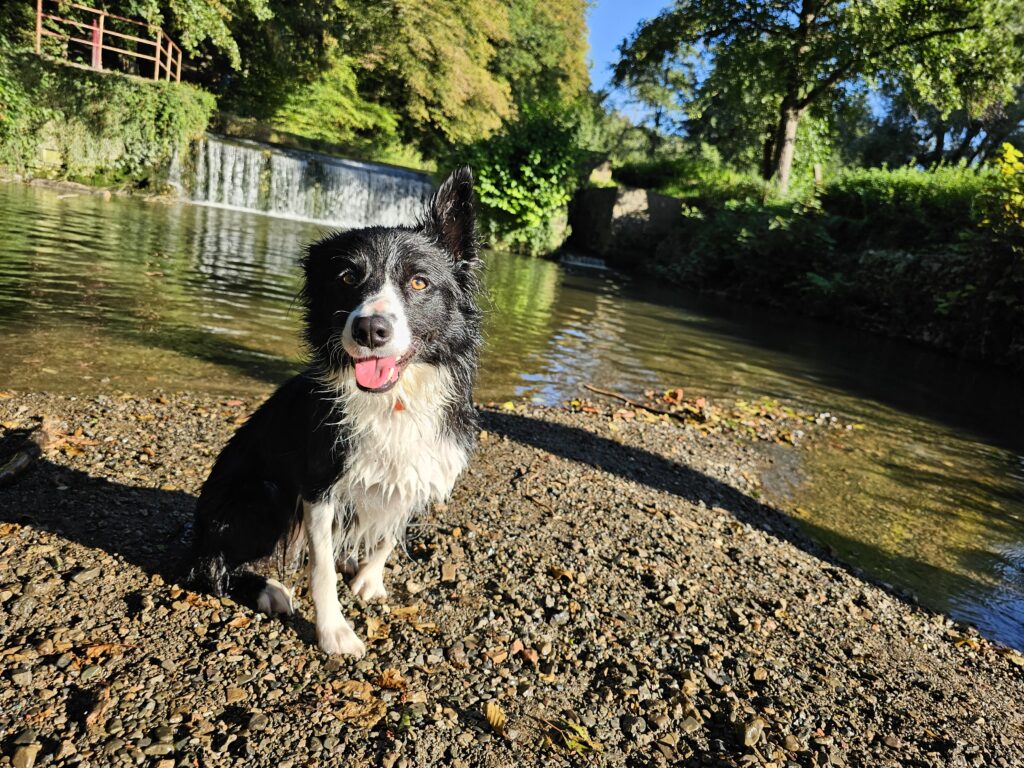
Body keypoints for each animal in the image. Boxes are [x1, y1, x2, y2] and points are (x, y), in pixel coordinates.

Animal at [189, 171, 483, 659]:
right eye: (347, 277)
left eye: (419, 283)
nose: (370, 329)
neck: (393, 400)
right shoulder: (318, 484)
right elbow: (321, 567)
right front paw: (334, 631)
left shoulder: (417, 470)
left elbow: (388, 533)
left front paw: (368, 579)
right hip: (261, 494)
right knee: (208, 569)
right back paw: (267, 589)